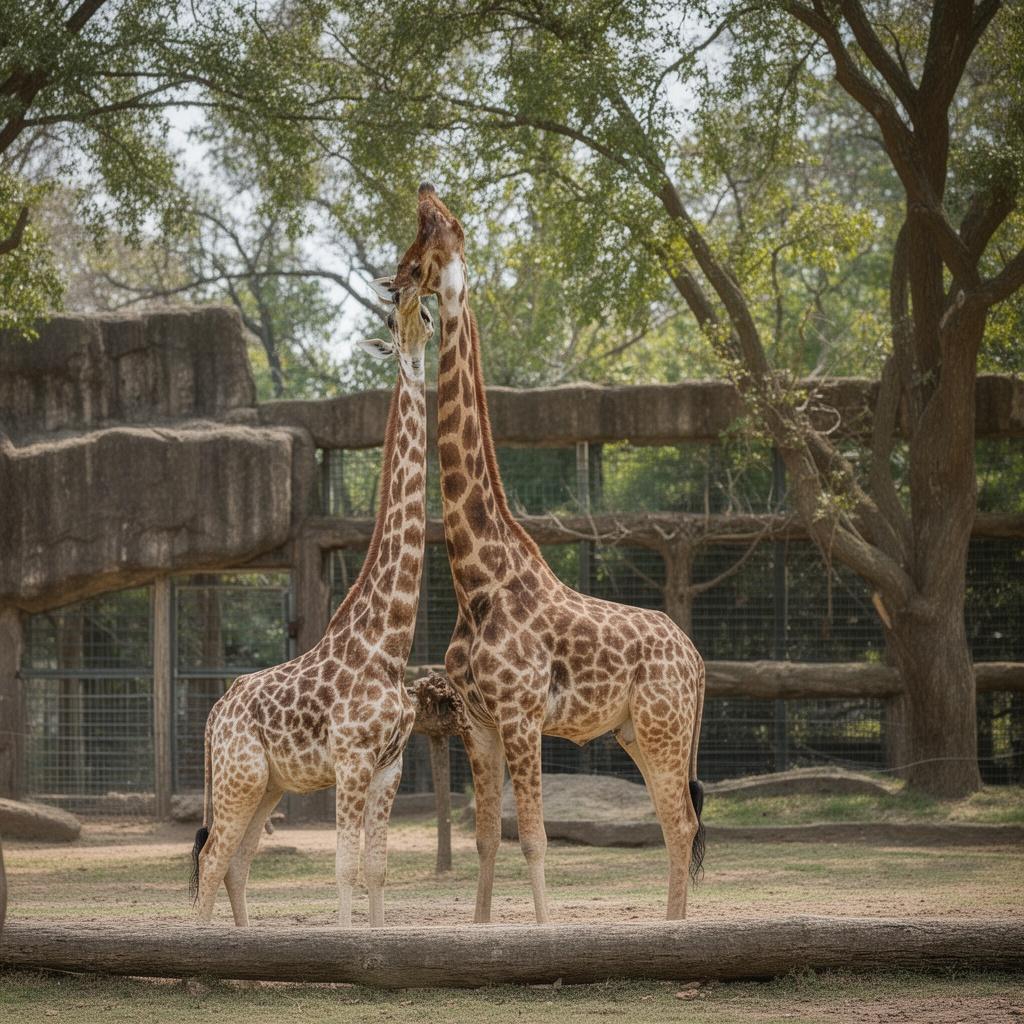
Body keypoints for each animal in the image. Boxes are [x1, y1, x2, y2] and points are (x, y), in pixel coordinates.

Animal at [190, 288, 432, 928]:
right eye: (391, 323)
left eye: (425, 316)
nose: (417, 319)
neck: (388, 642)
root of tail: (214, 715)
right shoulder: (351, 761)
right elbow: (344, 870)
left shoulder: (390, 767)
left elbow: (377, 871)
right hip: (239, 777)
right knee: (210, 862)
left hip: (267, 786)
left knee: (236, 864)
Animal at [390, 184, 706, 924]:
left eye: (433, 235)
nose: (394, 280)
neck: (478, 577)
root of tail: (700, 661)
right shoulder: (477, 722)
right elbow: (486, 840)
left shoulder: (522, 714)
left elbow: (534, 839)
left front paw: (542, 930)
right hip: (636, 732)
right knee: (676, 822)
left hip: (663, 727)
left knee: (681, 822)